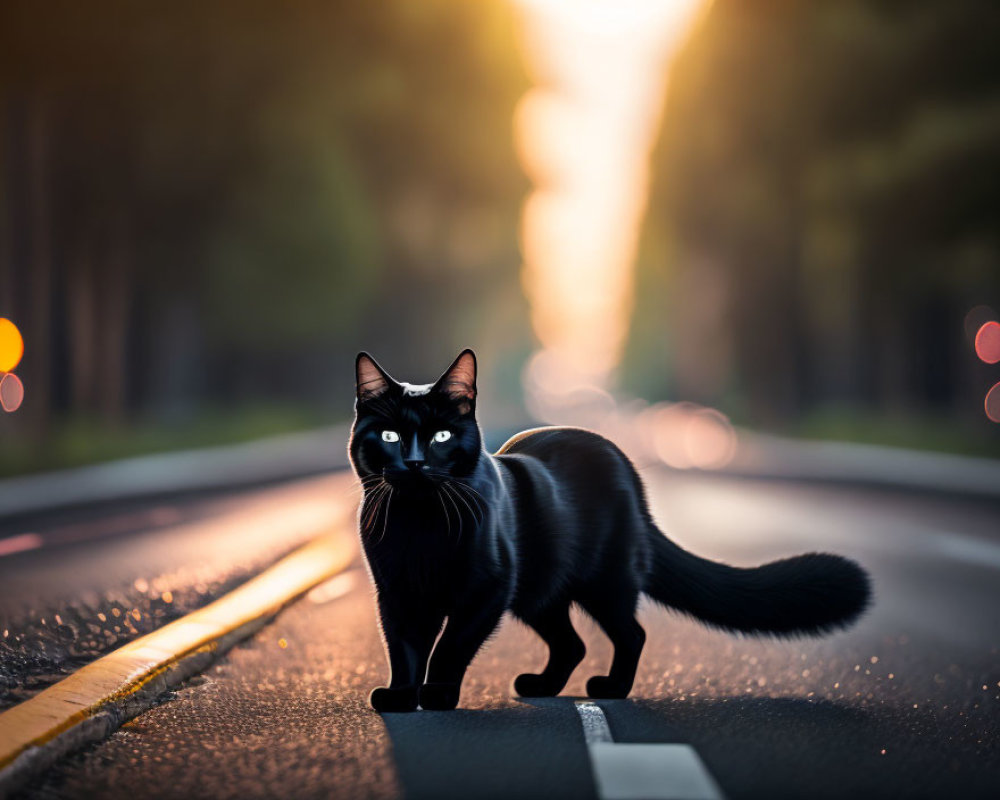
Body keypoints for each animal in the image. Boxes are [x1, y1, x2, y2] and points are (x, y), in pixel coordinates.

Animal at [348, 350, 872, 712]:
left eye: (441, 436)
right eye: (390, 436)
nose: (415, 463)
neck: (419, 525)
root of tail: (630, 475)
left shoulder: (486, 589)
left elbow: (449, 645)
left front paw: (437, 693)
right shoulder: (394, 592)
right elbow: (403, 646)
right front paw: (401, 697)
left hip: (604, 581)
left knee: (631, 633)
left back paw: (613, 689)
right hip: (539, 593)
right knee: (572, 643)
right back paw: (542, 686)